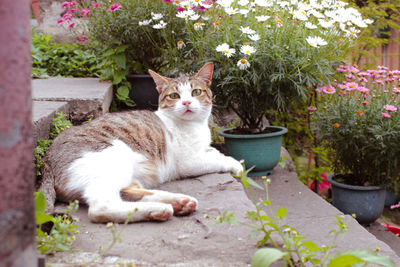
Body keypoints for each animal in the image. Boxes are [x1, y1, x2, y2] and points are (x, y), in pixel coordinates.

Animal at [39, 63, 242, 224]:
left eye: (196, 92)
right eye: (174, 96)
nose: (186, 102)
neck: (194, 125)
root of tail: (47, 159)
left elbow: (214, 152)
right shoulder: (190, 162)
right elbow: (221, 159)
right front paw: (237, 165)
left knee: (129, 193)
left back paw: (178, 202)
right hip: (113, 157)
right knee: (101, 207)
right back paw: (159, 210)